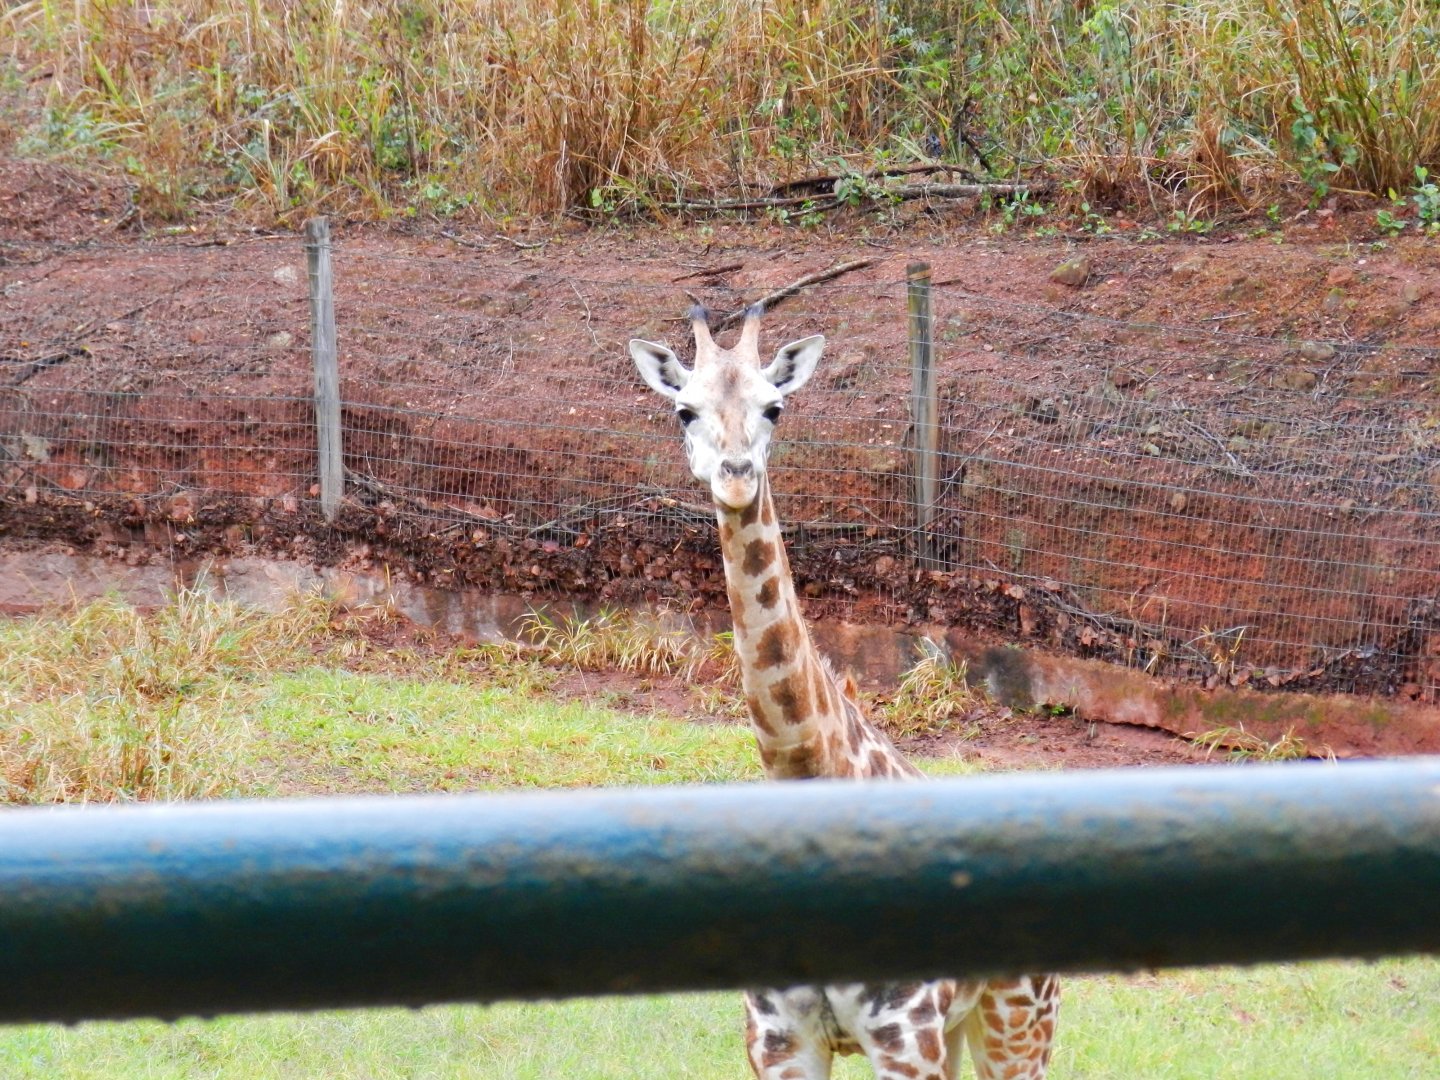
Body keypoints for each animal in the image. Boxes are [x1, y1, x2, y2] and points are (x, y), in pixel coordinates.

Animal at [630, 304, 1059, 1080]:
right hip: (960, 1028)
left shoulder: (903, 1039)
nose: (735, 476)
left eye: (775, 406)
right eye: (684, 410)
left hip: (1018, 1021)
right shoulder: (778, 1041)